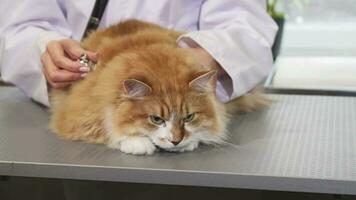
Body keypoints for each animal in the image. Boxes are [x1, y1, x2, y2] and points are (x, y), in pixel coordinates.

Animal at [49, 19, 268, 155]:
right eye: (156, 119)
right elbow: (109, 128)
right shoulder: (76, 114)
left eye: (189, 117)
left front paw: (192, 140)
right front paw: (136, 142)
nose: (176, 140)